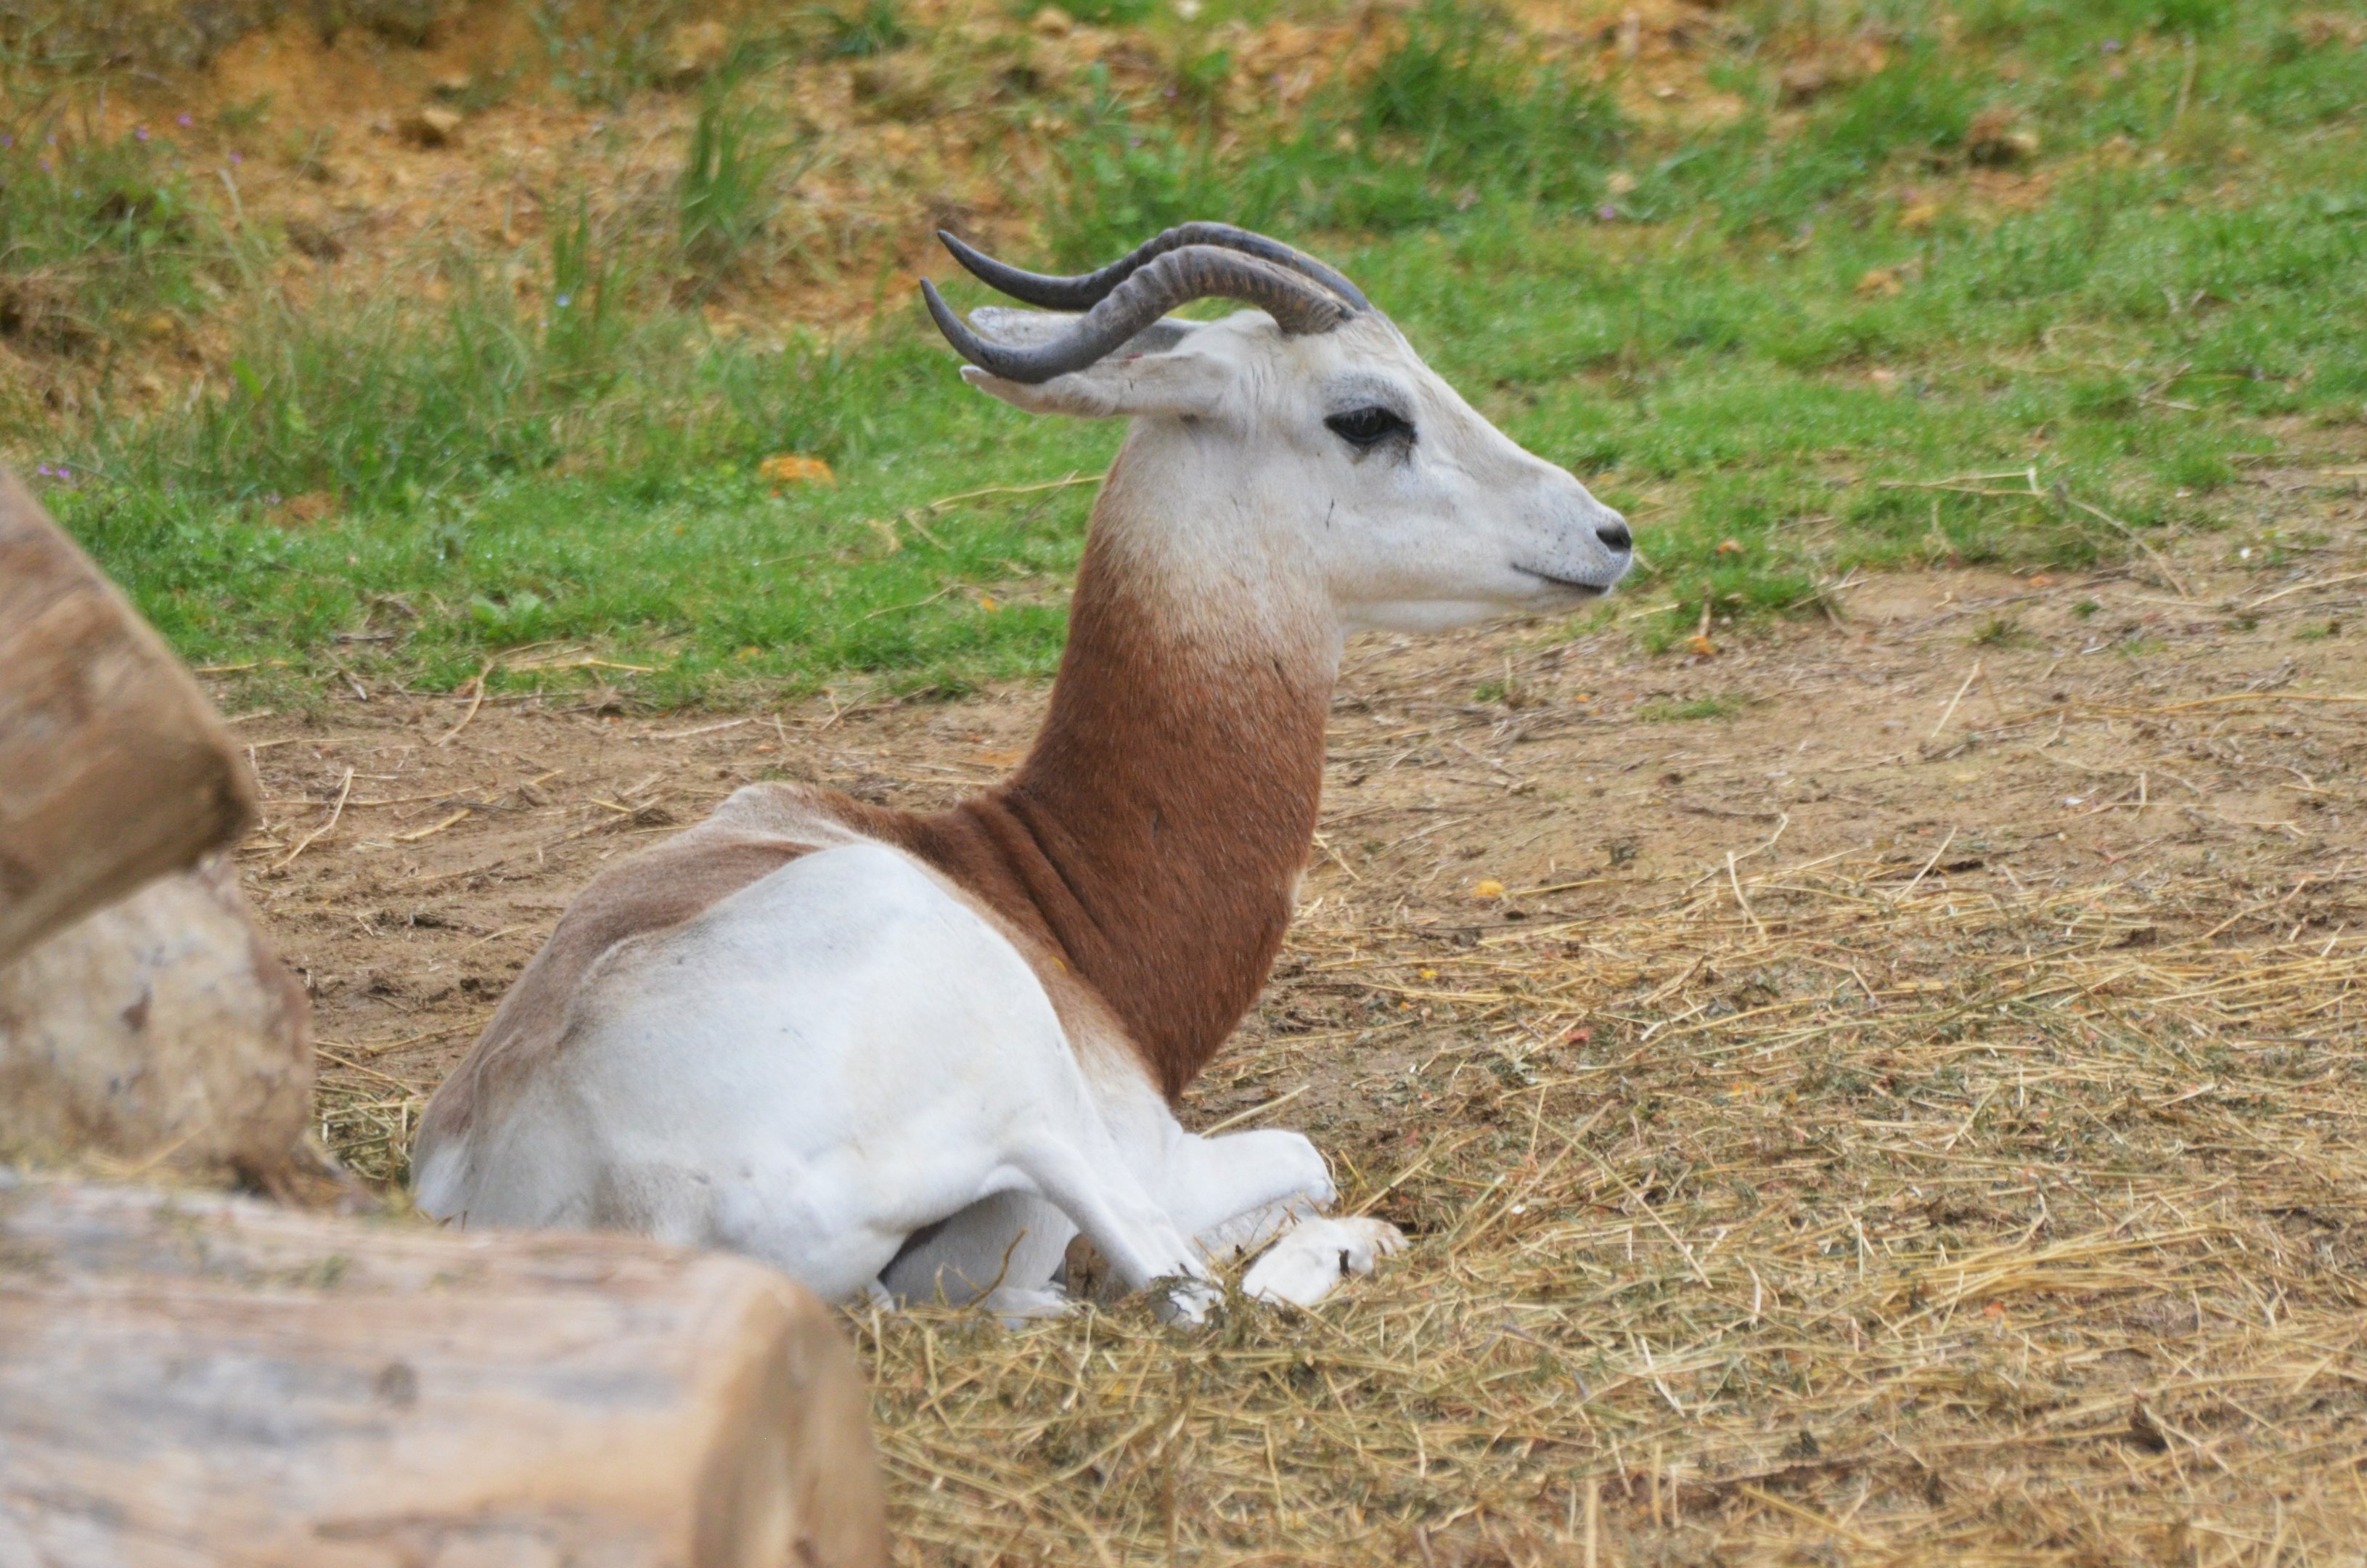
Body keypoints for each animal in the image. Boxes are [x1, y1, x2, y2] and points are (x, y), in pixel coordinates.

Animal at [411, 226, 1633, 1319]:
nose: (1608, 534)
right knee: (1190, 1294)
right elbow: (1298, 1162)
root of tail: (613, 1194)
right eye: (1368, 415)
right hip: (1039, 1109)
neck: (1041, 892)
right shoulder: (1147, 1145)